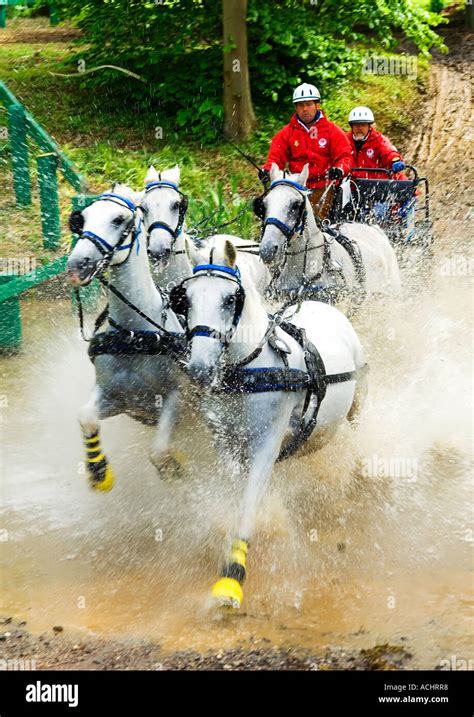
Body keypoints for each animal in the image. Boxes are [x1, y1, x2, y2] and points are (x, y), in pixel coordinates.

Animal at [66, 183, 187, 492]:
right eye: (82, 219)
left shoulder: (176, 397)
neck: (135, 336)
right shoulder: (118, 398)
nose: (77, 265)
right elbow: (85, 417)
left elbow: (158, 451)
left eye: (118, 219)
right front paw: (99, 472)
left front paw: (173, 468)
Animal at [170, 238, 366, 608]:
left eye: (230, 299)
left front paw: (231, 578)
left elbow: (248, 506)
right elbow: (235, 492)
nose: (199, 369)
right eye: (185, 299)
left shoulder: (265, 445)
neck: (248, 372)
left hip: (359, 397)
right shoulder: (227, 446)